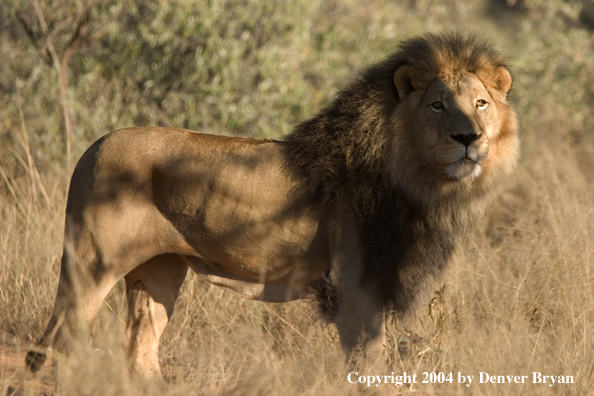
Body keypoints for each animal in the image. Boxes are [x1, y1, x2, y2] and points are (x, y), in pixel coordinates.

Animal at [25, 32, 516, 378]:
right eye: (437, 105)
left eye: (480, 103)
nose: (468, 138)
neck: (420, 178)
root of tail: (91, 148)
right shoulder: (356, 289)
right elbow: (368, 368)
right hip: (90, 267)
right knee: (50, 348)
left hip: (159, 272)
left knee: (140, 353)